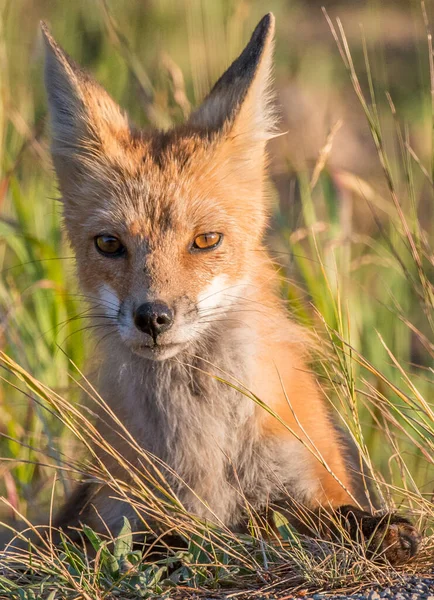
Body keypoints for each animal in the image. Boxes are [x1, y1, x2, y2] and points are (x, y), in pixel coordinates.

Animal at [40, 15, 420, 568]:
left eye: (206, 241)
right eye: (109, 244)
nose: (153, 317)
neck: (203, 444)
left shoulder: (309, 475)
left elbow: (323, 515)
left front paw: (376, 529)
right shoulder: (113, 511)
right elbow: (159, 537)